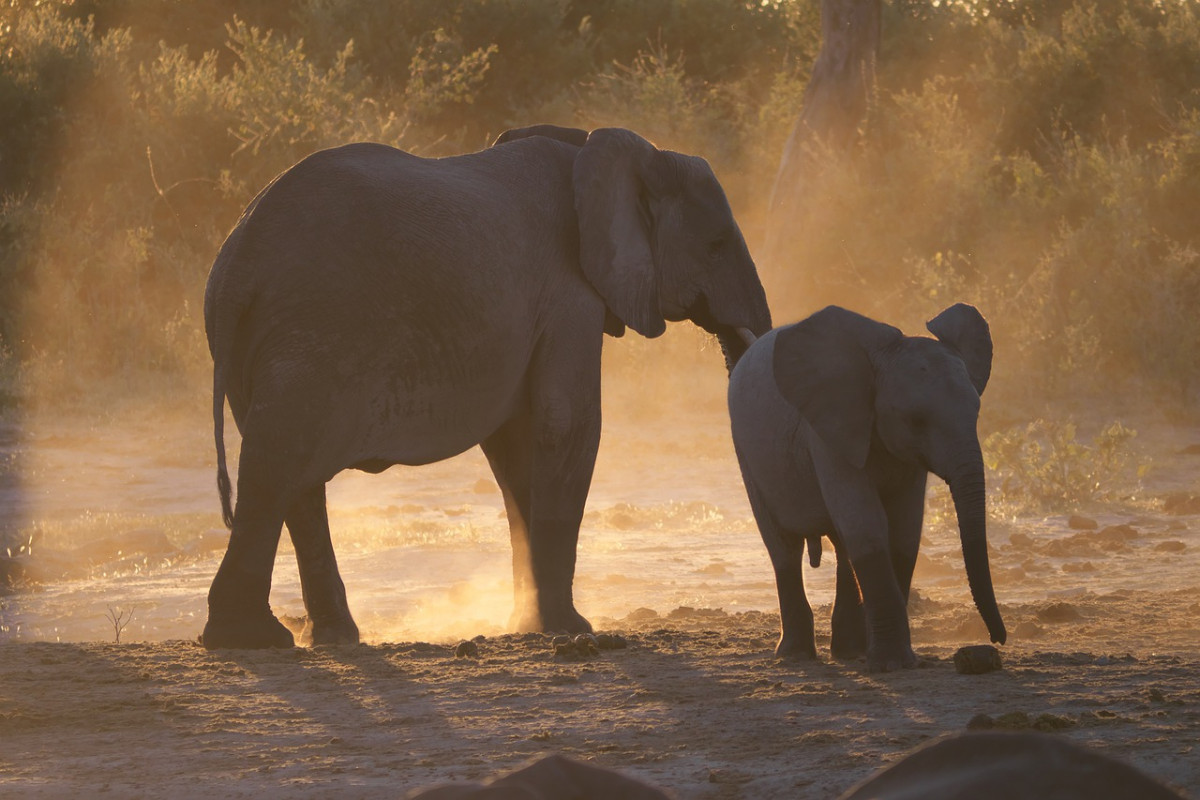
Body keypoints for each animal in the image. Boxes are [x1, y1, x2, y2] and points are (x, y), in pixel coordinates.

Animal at [201, 125, 772, 652]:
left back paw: (329, 638)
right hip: (312, 335)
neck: (605, 149)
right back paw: (251, 639)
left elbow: (516, 443)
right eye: (717, 244)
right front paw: (569, 628)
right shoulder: (569, 289)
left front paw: (527, 624)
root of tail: (236, 265)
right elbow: (567, 423)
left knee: (290, 476)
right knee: (277, 466)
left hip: (267, 347)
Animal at [729, 304, 1003, 671]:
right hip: (747, 453)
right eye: (916, 420)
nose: (997, 640)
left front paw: (888, 659)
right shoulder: (828, 430)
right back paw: (796, 655)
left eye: (976, 414)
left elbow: (904, 531)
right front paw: (892, 665)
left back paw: (850, 652)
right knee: (784, 546)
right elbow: (866, 523)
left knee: (843, 548)